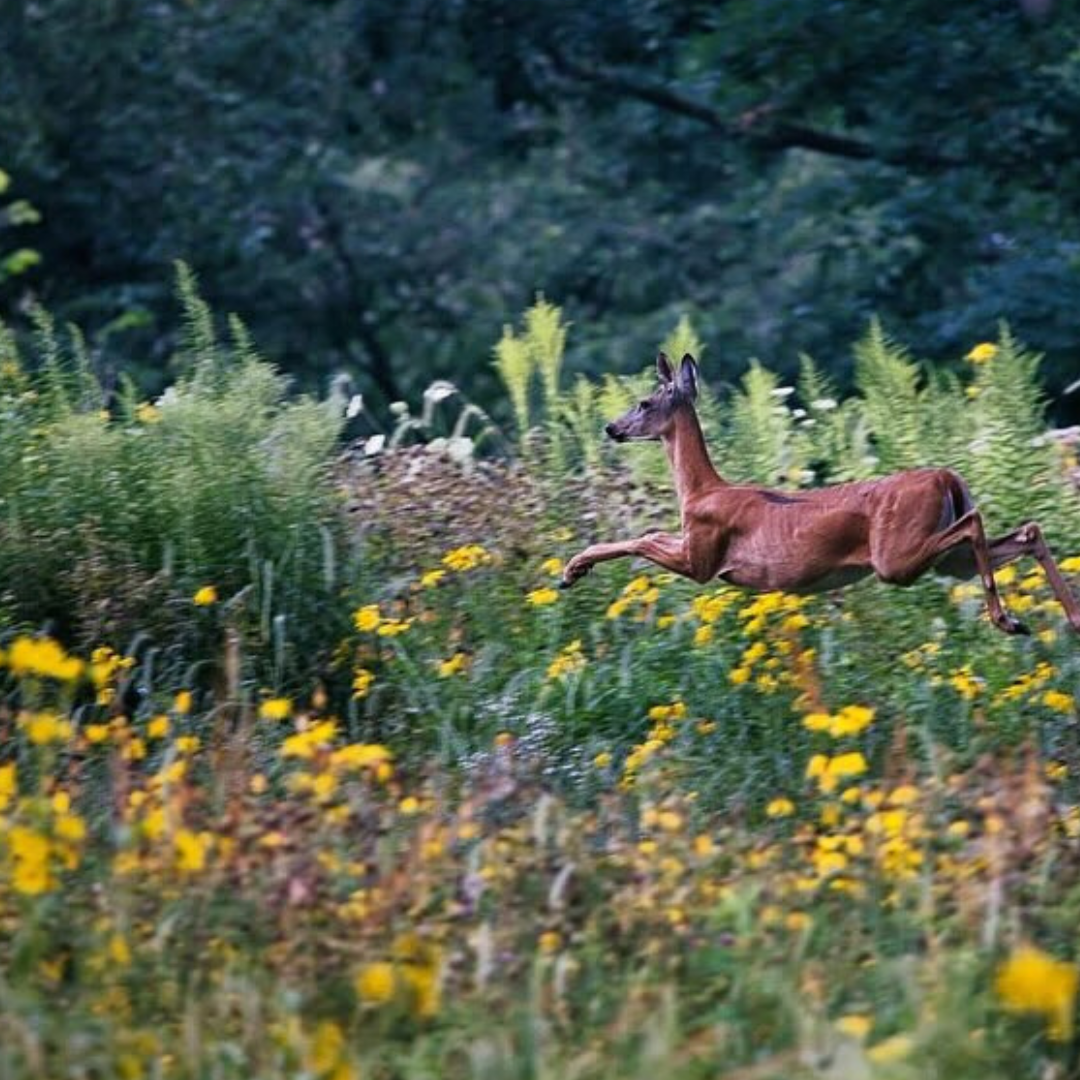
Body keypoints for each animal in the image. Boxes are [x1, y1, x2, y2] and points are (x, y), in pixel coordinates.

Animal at [561, 349, 1080, 635]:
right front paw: (575, 570)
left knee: (976, 525)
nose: (611, 428)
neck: (701, 491)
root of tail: (947, 478)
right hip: (945, 561)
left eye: (644, 402)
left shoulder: (701, 556)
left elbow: (645, 537)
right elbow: (647, 535)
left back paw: (1007, 620)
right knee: (1026, 531)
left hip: (895, 555)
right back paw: (1069, 619)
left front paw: (572, 570)